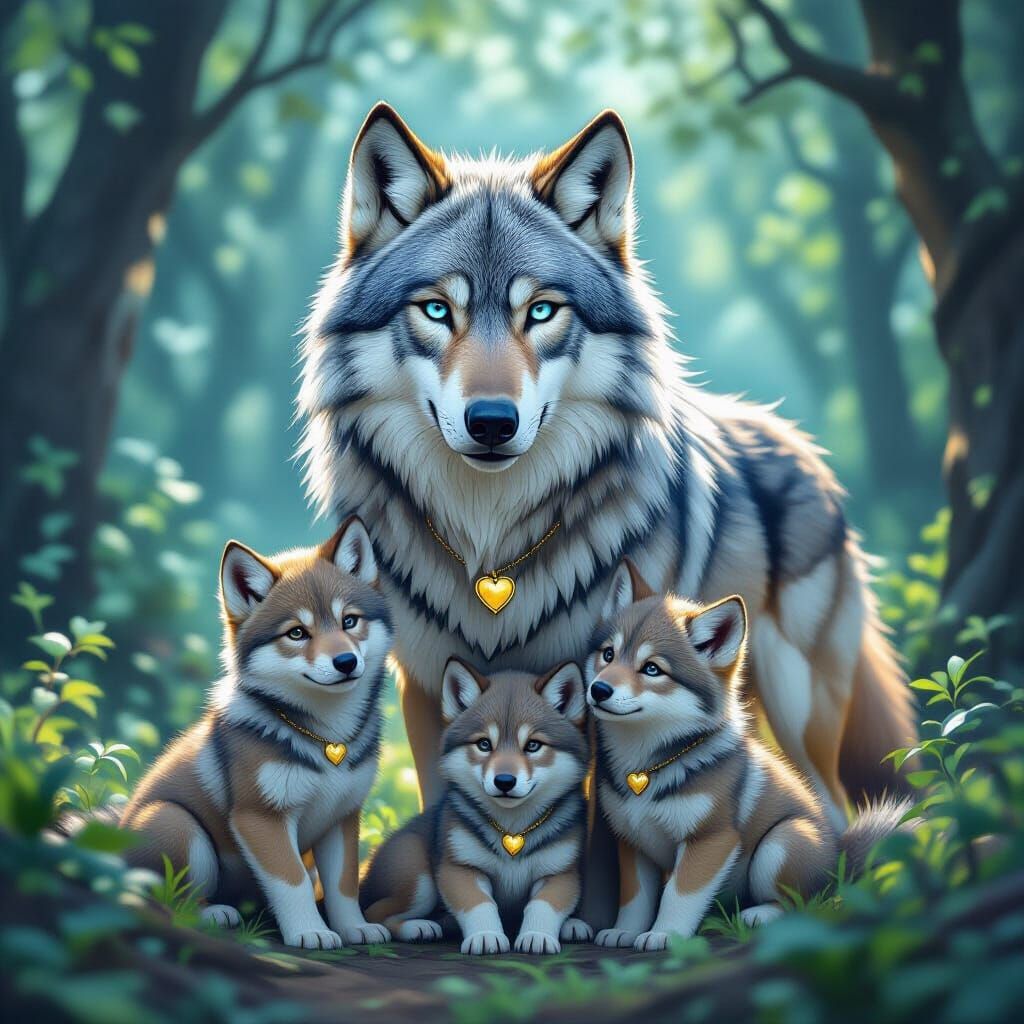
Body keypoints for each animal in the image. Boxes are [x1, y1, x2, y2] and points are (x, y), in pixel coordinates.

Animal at [118, 518, 393, 949]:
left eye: (349, 621)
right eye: (296, 633)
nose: (346, 661)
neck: (326, 740)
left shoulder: (342, 818)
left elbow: (344, 884)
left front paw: (354, 928)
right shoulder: (260, 818)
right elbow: (292, 881)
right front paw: (310, 932)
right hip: (177, 823)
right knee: (168, 897)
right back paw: (213, 913)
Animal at [361, 657, 593, 954]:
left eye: (533, 745)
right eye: (484, 744)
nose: (504, 781)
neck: (512, 827)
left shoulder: (560, 873)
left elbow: (544, 905)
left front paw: (537, 936)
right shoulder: (460, 867)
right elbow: (480, 904)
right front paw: (486, 936)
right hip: (417, 875)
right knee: (376, 912)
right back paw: (418, 927)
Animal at [588, 559, 910, 950]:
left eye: (652, 669)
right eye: (608, 654)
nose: (598, 689)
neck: (647, 766)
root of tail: (839, 862)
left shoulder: (712, 839)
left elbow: (678, 896)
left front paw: (666, 935)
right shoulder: (634, 843)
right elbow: (635, 898)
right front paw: (626, 931)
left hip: (781, 843)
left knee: (803, 902)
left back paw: (760, 915)